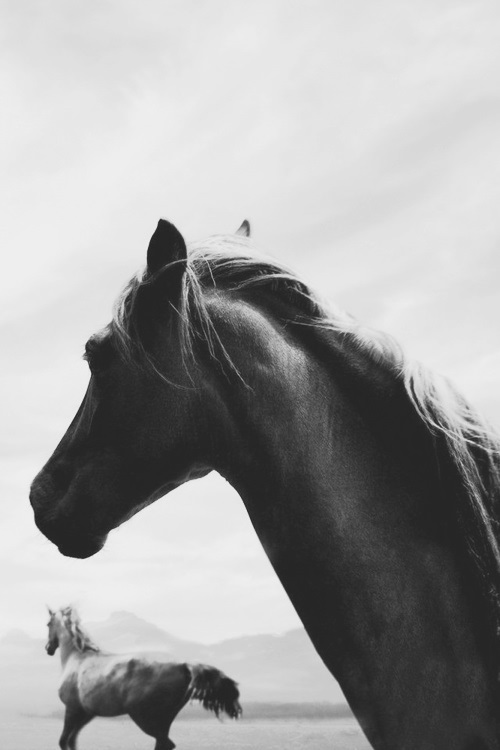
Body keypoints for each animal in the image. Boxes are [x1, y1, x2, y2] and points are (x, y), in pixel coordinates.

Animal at [45, 606, 241, 750]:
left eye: (48, 624)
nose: (48, 648)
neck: (77, 658)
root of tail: (184, 665)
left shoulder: (72, 709)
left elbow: (64, 741)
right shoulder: (85, 713)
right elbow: (72, 741)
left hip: (144, 718)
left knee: (165, 743)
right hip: (163, 720)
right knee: (164, 743)